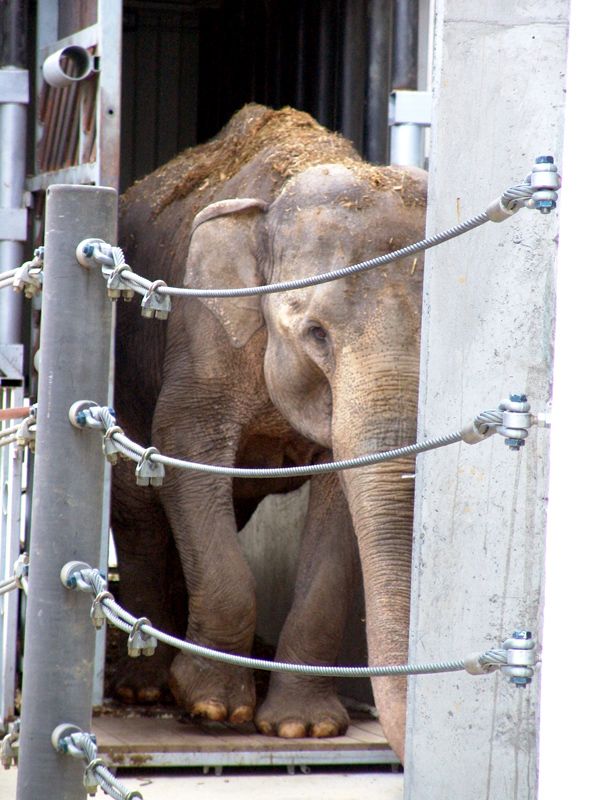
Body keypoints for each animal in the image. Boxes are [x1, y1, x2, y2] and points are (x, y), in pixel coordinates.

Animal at [111, 103, 426, 760]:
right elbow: (182, 443)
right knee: (138, 505)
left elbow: (340, 500)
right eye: (315, 334)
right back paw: (144, 687)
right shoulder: (204, 327)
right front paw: (211, 704)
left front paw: (303, 727)